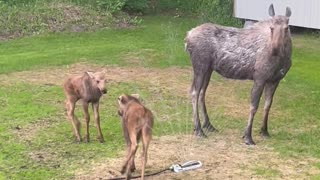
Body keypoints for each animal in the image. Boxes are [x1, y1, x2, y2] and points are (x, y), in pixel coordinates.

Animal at [185, 4, 292, 145]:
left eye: (286, 28)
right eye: (271, 27)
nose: (275, 49)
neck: (283, 59)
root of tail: (188, 36)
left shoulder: (275, 80)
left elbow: (267, 105)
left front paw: (264, 131)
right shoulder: (260, 78)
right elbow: (254, 106)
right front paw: (248, 136)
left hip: (208, 69)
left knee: (202, 92)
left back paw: (208, 125)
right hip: (200, 66)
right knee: (194, 92)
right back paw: (198, 129)